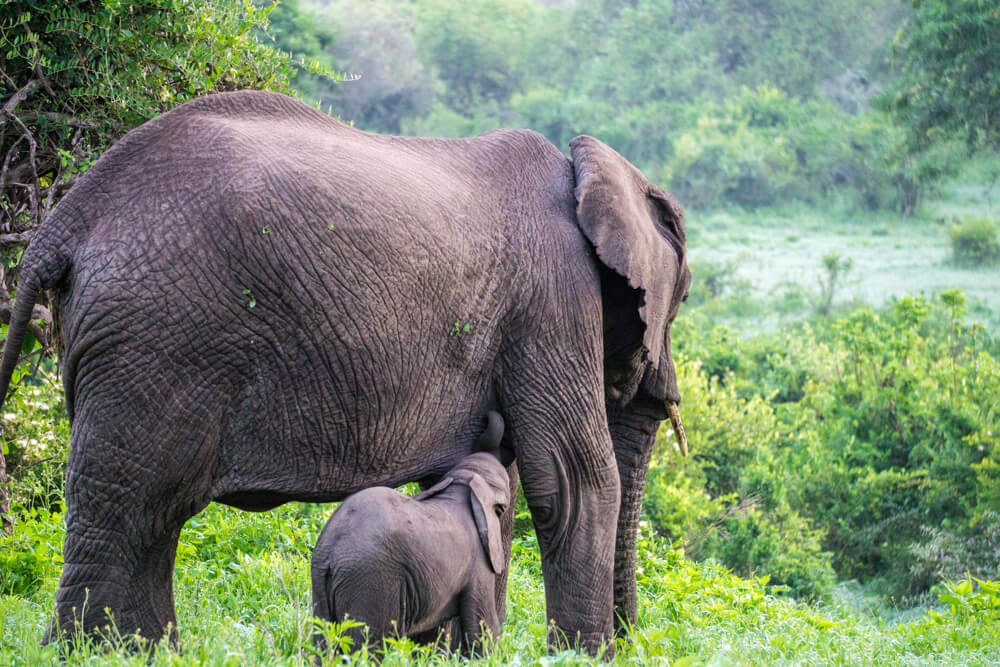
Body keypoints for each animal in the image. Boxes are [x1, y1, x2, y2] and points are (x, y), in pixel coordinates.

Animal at [310, 410, 516, 656]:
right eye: (501, 509)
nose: (487, 415)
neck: (463, 483)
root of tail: (330, 553)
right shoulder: (478, 565)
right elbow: (482, 626)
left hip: (321, 585)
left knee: (322, 643)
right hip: (370, 582)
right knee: (368, 645)